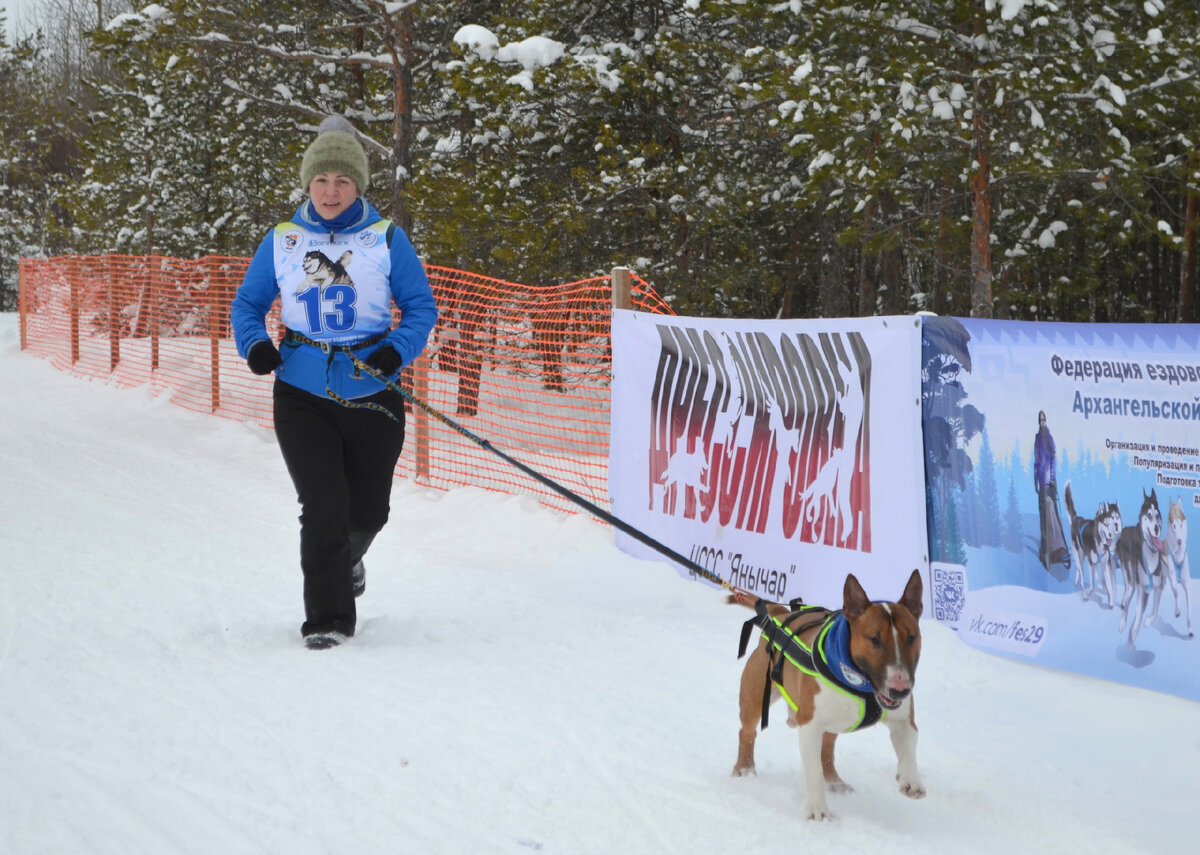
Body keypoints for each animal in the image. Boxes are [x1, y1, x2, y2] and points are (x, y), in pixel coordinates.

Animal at [724, 571, 921, 816]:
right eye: (874, 639)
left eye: (911, 637)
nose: (899, 689)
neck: (862, 686)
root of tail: (780, 614)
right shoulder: (809, 725)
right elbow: (813, 771)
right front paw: (818, 812)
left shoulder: (903, 719)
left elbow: (908, 746)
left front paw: (910, 780)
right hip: (756, 695)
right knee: (747, 732)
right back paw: (744, 769)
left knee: (827, 749)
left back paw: (835, 781)